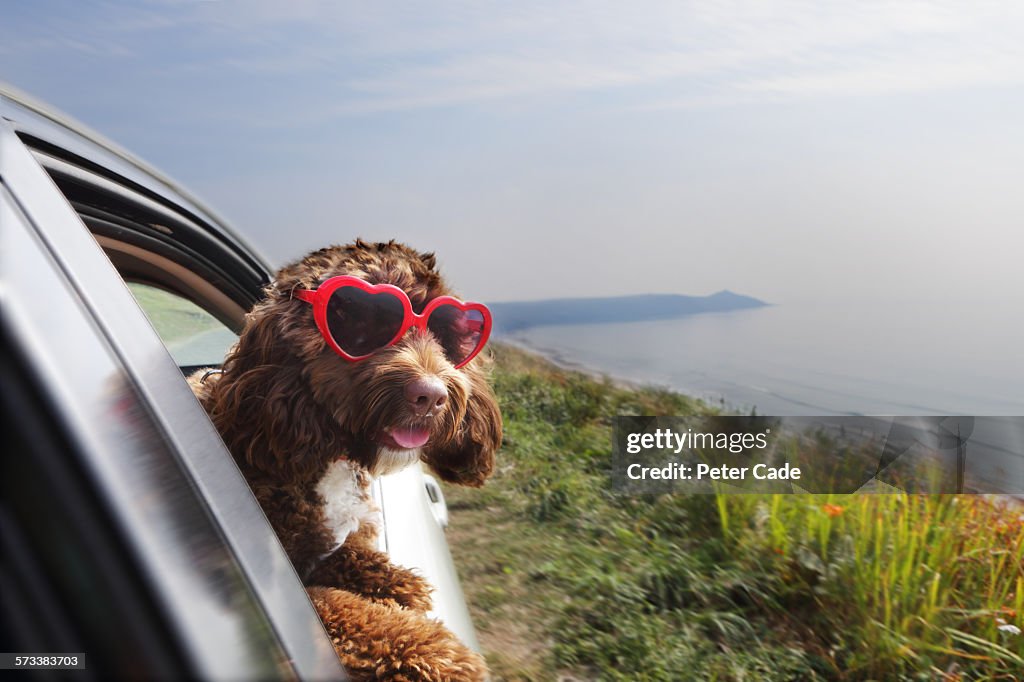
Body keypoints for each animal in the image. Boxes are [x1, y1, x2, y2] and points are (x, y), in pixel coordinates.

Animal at [189, 237, 503, 675]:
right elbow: (347, 611)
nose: (431, 396)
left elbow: (357, 557)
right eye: (360, 324)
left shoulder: (334, 543)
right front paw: (438, 653)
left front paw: (398, 584)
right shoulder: (292, 586)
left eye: (447, 332)